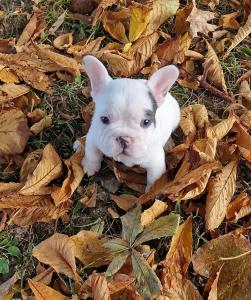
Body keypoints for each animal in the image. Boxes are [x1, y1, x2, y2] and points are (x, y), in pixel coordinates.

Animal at [74, 55, 180, 192]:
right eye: (104, 119)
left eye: (146, 122)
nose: (124, 138)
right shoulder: (94, 138)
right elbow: (93, 153)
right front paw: (90, 166)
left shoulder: (156, 162)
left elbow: (154, 180)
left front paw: (151, 194)